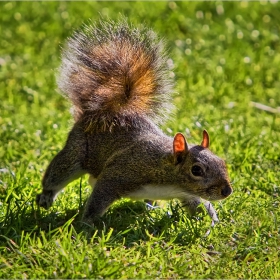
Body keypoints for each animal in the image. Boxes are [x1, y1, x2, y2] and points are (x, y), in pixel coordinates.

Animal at [36, 18, 232, 225]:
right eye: (196, 170)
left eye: (222, 162)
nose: (227, 191)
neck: (167, 173)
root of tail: (99, 113)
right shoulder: (120, 174)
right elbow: (99, 198)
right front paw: (86, 224)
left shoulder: (187, 194)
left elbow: (197, 206)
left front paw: (209, 222)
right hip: (76, 152)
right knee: (57, 173)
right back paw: (46, 197)